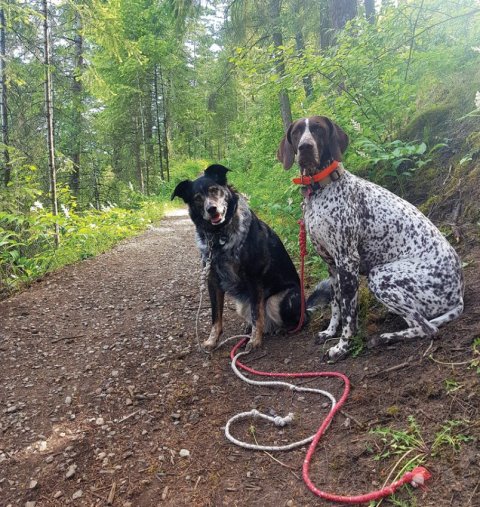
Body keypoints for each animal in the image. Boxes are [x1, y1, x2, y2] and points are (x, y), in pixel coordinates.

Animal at [172, 165, 322, 352]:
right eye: (197, 198)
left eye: (214, 190)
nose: (211, 209)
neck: (220, 236)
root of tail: (306, 306)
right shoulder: (212, 280)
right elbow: (216, 316)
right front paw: (212, 340)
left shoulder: (253, 277)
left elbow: (257, 314)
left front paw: (255, 341)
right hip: (243, 304)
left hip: (279, 300)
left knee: (297, 319)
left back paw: (281, 329)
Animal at [278, 115, 464, 362]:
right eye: (297, 132)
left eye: (318, 129)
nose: (304, 148)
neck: (320, 191)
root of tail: (459, 292)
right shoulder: (332, 265)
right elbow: (336, 305)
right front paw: (330, 331)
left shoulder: (347, 261)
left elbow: (349, 314)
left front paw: (342, 346)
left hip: (381, 276)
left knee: (427, 328)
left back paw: (385, 337)